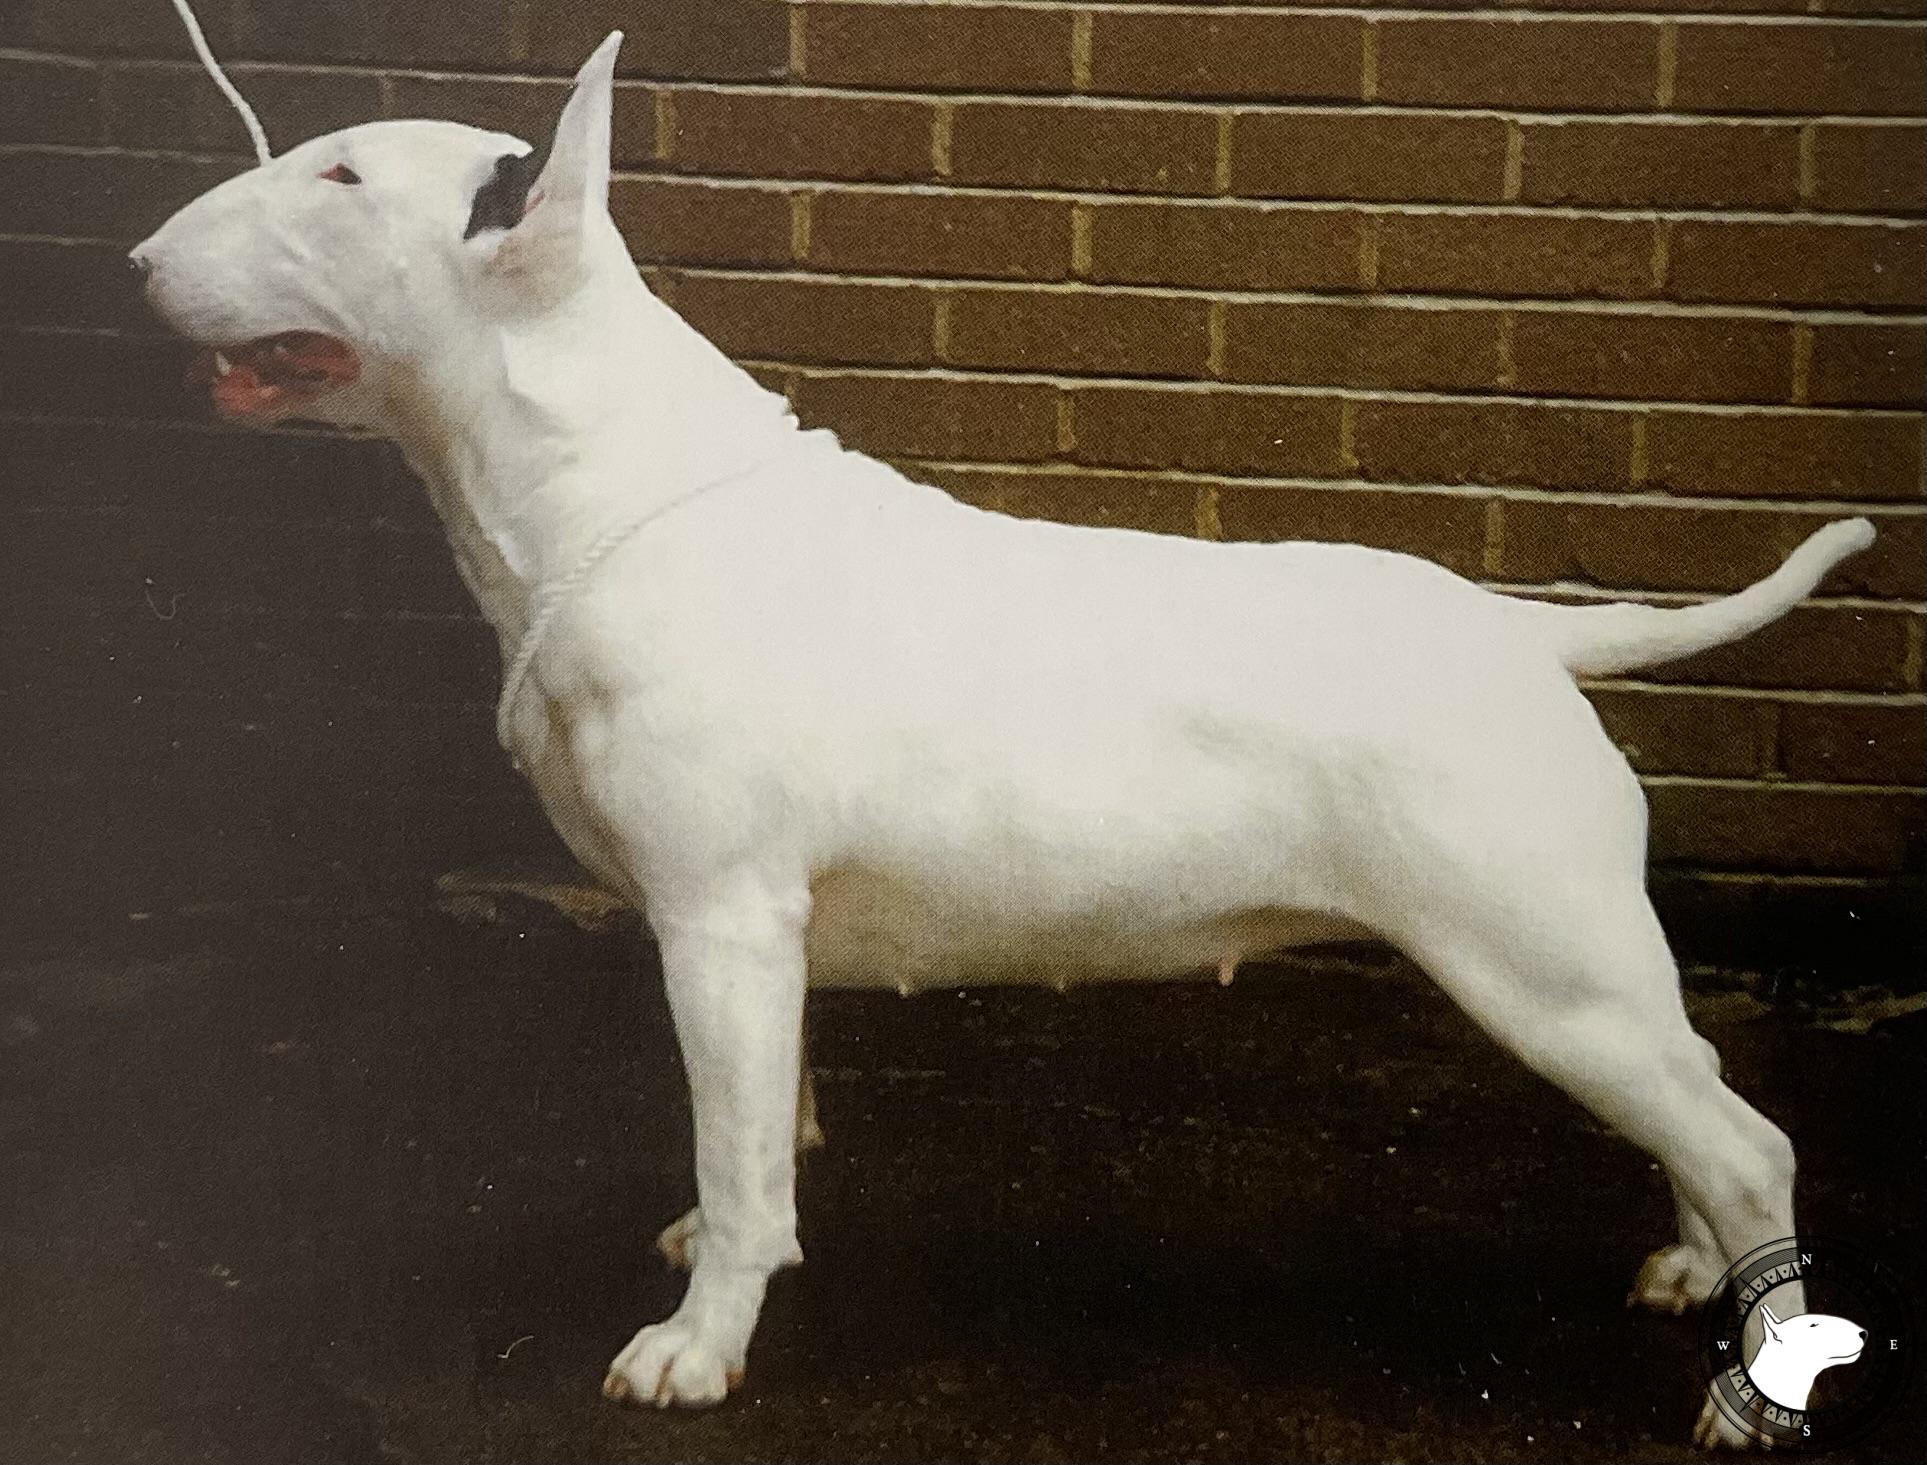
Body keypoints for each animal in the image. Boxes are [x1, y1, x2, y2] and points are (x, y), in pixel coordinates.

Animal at [131, 28, 1865, 1449]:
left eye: (342, 173)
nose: (138, 260)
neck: (609, 493)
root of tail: (1524, 633)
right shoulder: (760, 939)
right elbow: (762, 1128)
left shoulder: (717, 916)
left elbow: (738, 1160)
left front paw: (694, 1349)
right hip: (1580, 982)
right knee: (1700, 1112)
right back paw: (1696, 1267)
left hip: (1540, 965)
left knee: (1746, 1137)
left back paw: (1749, 1382)